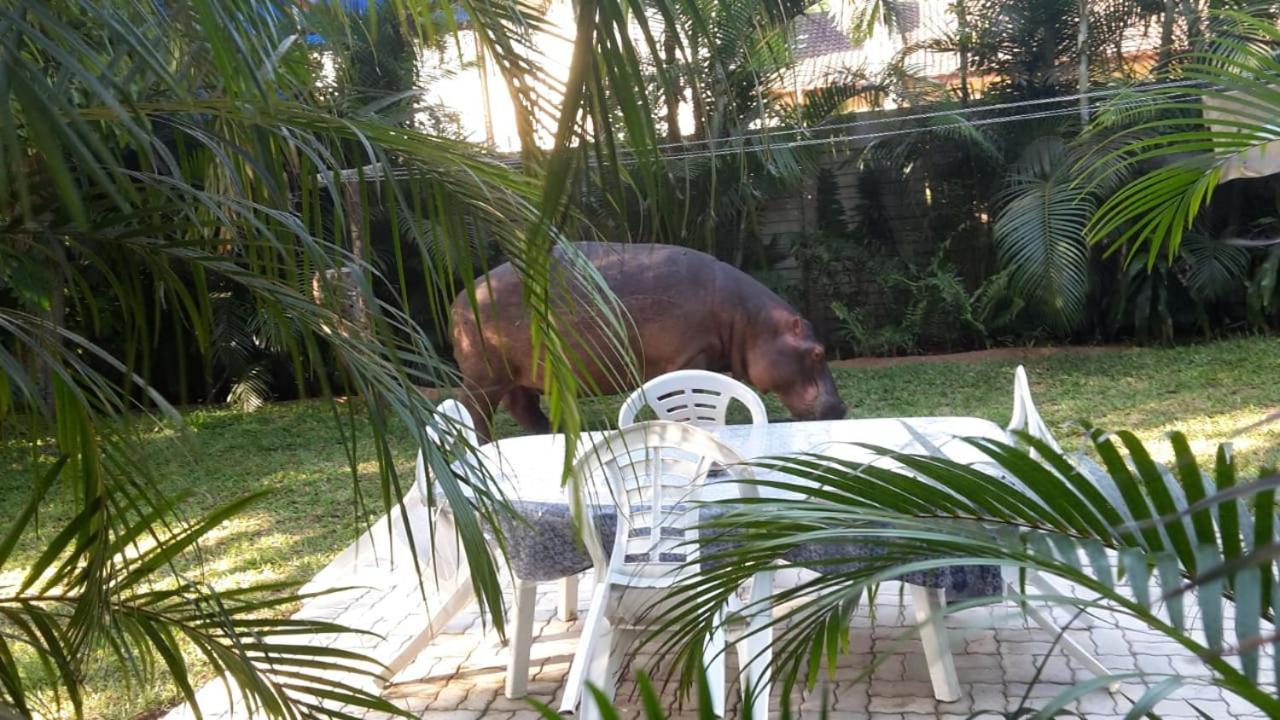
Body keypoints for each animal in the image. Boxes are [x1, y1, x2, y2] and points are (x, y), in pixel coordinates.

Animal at [450, 240, 849, 438]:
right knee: (476, 409)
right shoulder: (692, 355)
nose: (842, 408)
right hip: (485, 375)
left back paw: (550, 432)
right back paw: (486, 442)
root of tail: (459, 298)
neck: (752, 321)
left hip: (517, 372)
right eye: (818, 353)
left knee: (521, 405)